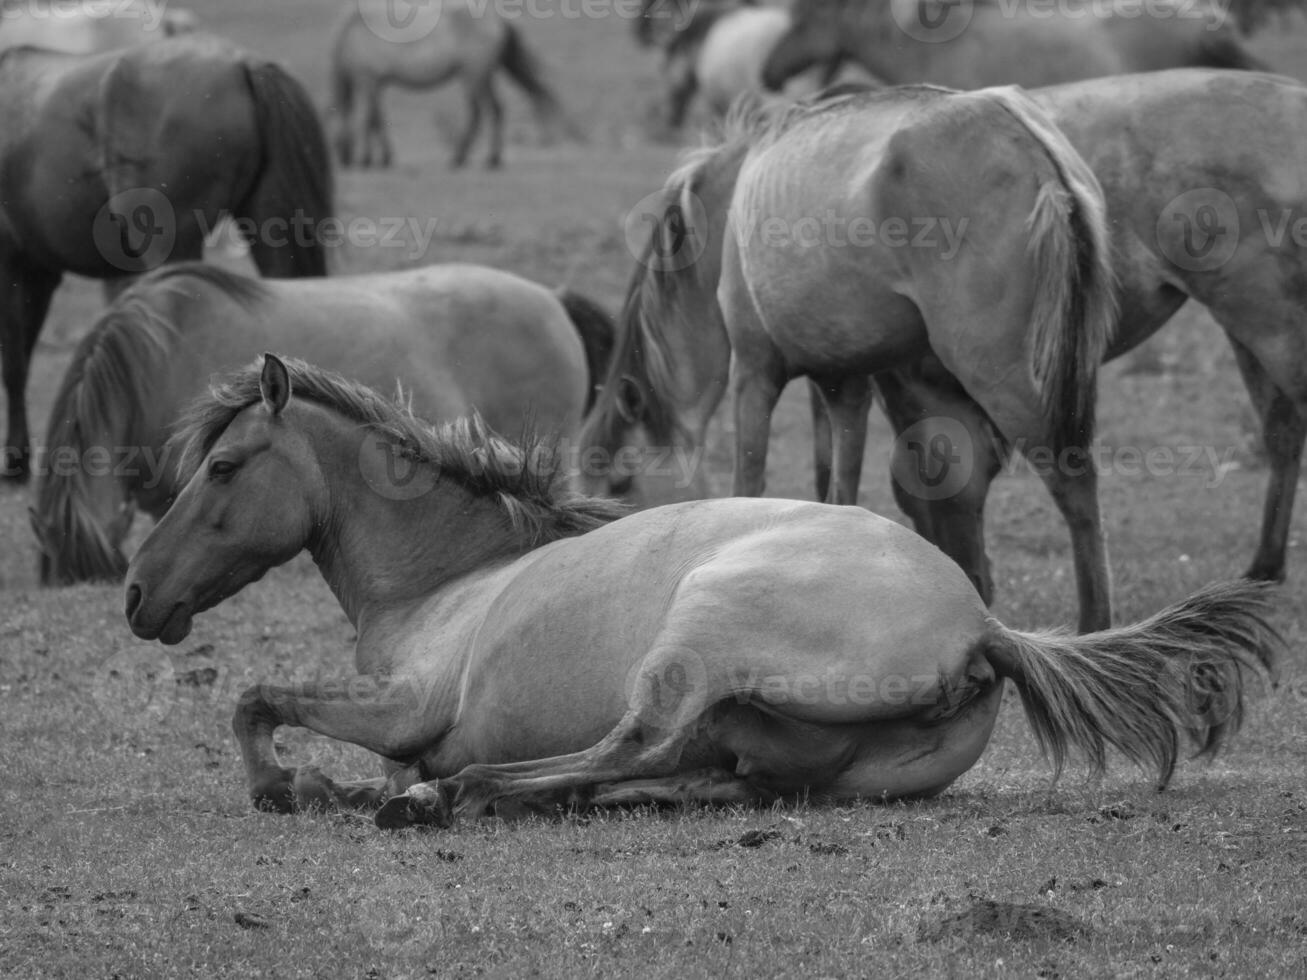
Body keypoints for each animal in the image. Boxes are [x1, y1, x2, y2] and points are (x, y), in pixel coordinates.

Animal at [0, 32, 331, 486]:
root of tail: (241, 62)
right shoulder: (43, 271)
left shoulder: (15, 264)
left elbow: (13, 363)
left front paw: (15, 458)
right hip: (271, 225)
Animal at [122, 352, 1275, 831]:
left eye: (221, 467)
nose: (136, 594)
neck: (447, 578)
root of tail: (984, 627)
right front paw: (324, 784)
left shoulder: (409, 705)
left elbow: (256, 698)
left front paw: (287, 786)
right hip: (772, 753)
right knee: (689, 777)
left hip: (696, 636)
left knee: (626, 748)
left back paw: (451, 799)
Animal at [326, 0, 577, 168]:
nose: (343, 160)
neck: (348, 34)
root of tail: (498, 19)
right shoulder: (377, 83)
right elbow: (377, 119)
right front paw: (383, 157)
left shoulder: (367, 78)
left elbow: (369, 119)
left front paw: (369, 159)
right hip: (481, 74)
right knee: (495, 108)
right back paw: (485, 157)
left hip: (474, 74)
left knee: (482, 111)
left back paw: (467, 157)